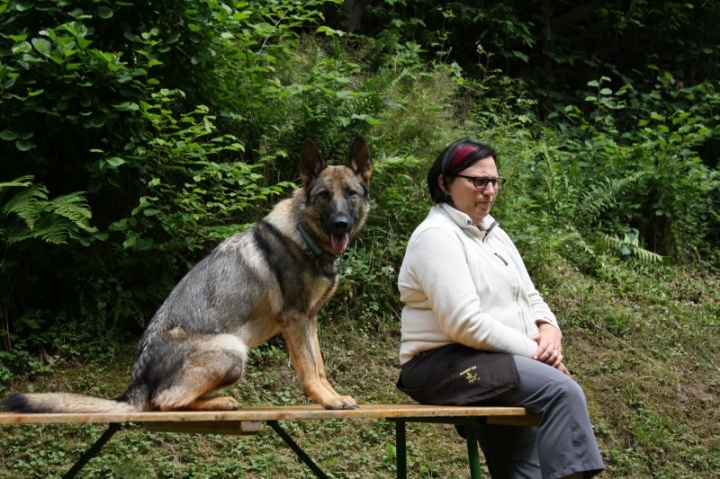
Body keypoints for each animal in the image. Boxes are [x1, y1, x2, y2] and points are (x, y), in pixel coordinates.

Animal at [1, 135, 372, 412]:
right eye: (324, 196)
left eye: (350, 195)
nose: (341, 224)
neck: (303, 236)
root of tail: (136, 383)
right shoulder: (293, 320)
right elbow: (309, 371)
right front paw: (327, 402)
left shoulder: (310, 320)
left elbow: (320, 366)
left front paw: (334, 396)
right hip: (233, 350)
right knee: (164, 401)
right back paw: (218, 402)